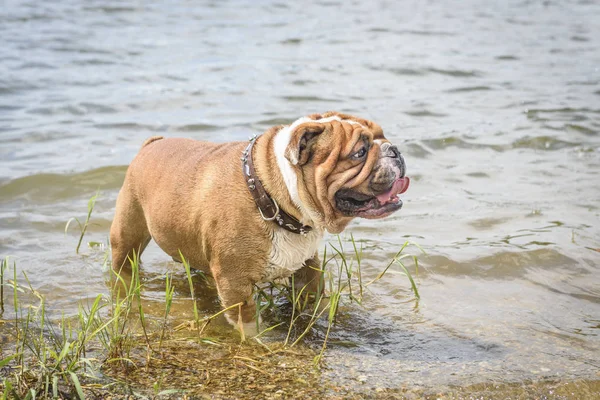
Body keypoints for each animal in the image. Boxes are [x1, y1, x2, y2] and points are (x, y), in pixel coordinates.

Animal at [109, 111, 408, 336]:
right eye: (360, 152)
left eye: (383, 136)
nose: (395, 150)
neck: (275, 198)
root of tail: (151, 144)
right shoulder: (234, 281)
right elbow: (248, 319)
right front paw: (259, 341)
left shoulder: (308, 266)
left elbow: (314, 298)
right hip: (127, 234)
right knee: (123, 264)